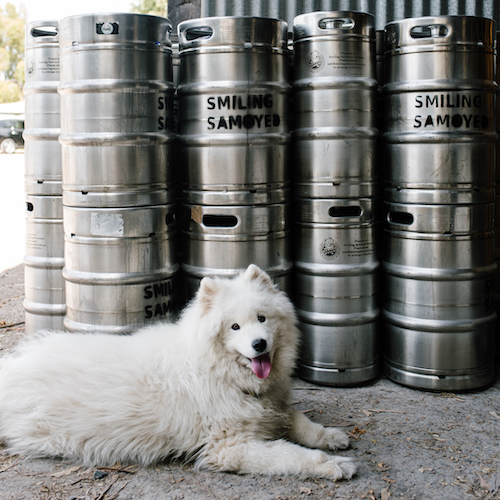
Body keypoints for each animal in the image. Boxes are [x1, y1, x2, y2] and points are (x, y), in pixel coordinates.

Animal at [0, 266, 360, 480]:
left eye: (262, 318)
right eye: (234, 327)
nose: (259, 344)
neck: (221, 376)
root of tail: (14, 367)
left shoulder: (273, 408)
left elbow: (299, 421)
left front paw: (330, 436)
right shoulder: (230, 448)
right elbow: (290, 454)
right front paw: (331, 464)